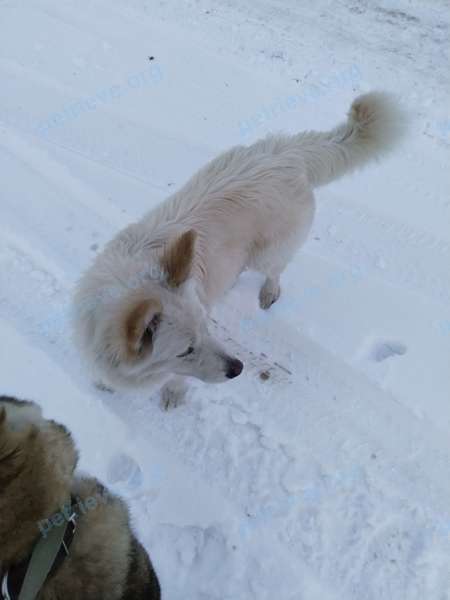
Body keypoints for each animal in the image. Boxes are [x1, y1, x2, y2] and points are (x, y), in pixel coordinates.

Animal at [73, 90, 404, 408]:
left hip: (267, 255)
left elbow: (177, 380)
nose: (238, 368)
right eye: (186, 350)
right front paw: (104, 386)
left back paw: (268, 293)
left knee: (275, 271)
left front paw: (173, 395)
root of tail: (288, 153)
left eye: (206, 329)